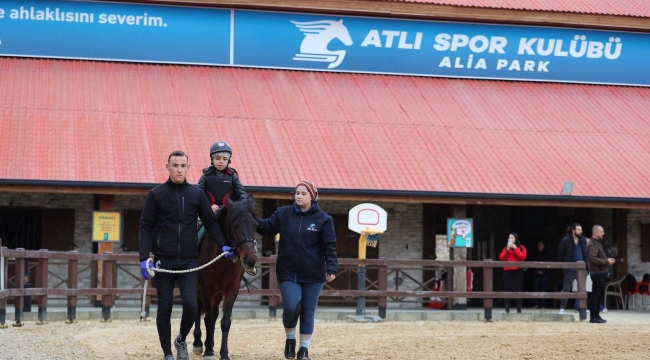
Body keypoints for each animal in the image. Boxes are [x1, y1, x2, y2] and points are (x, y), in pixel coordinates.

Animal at [191, 195, 256, 360]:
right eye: (235, 226)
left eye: (255, 225)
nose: (250, 260)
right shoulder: (206, 289)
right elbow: (208, 319)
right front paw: (208, 351)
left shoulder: (232, 289)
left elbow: (225, 321)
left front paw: (223, 353)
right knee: (198, 310)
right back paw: (198, 343)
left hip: (218, 293)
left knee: (213, 313)